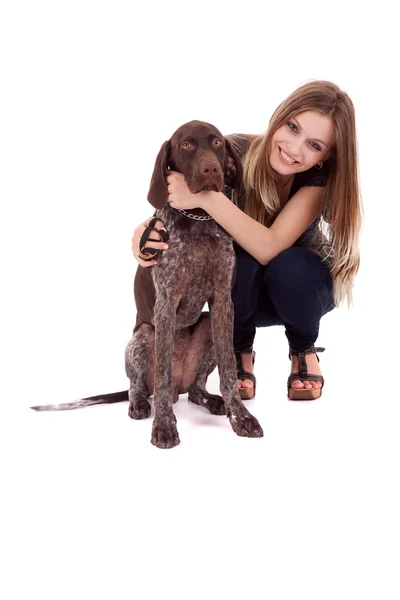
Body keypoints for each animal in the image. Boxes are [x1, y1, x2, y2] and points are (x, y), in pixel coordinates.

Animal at [31, 119, 262, 448]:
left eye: (217, 142)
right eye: (186, 145)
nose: (210, 169)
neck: (198, 217)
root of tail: (182, 387)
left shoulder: (222, 303)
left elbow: (229, 372)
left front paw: (240, 417)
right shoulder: (165, 303)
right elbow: (162, 375)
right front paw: (164, 426)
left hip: (206, 327)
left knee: (195, 389)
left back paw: (210, 400)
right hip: (142, 337)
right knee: (140, 385)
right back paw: (140, 404)